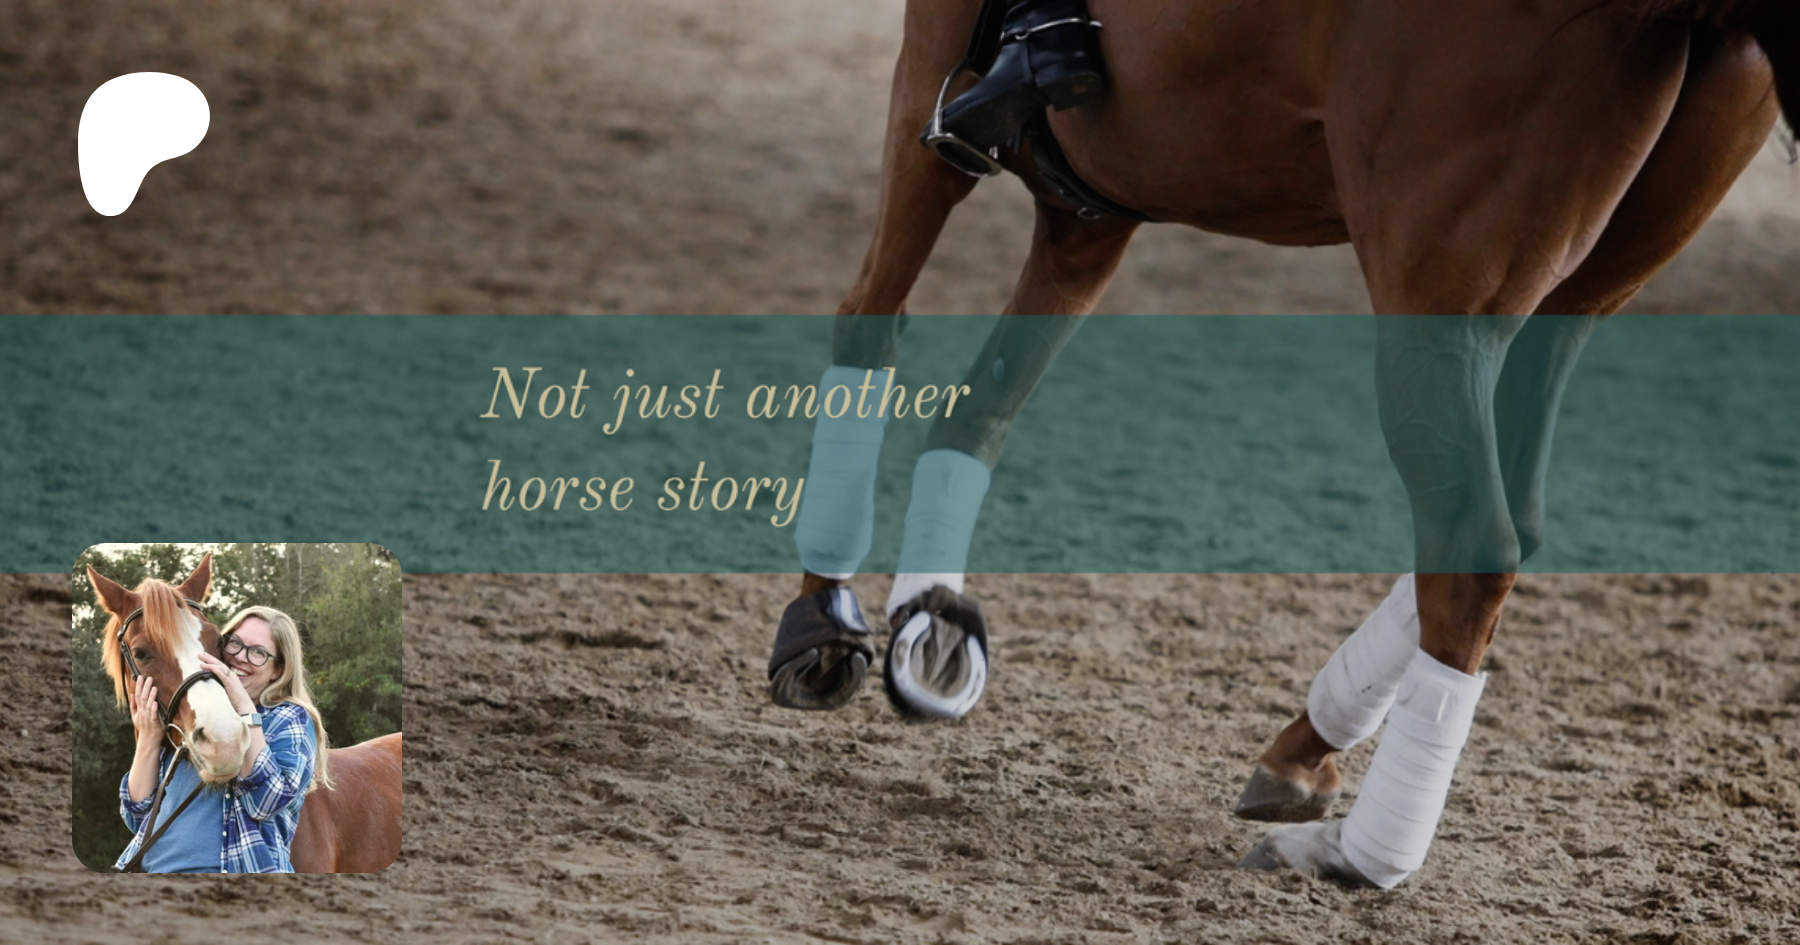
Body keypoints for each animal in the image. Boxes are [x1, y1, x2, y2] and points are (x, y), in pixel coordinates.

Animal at [767, 0, 1799, 888]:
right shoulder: (1090, 205)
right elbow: (982, 407)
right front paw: (934, 624)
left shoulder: (934, 90)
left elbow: (870, 321)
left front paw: (825, 620)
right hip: (1587, 292)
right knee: (1516, 516)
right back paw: (1303, 752)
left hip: (1438, 288)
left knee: (1474, 539)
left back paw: (1362, 857)